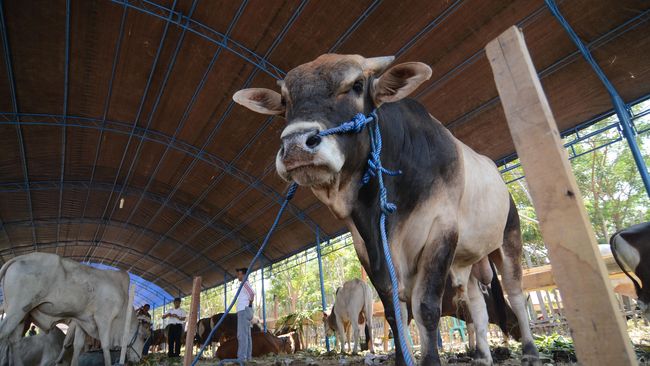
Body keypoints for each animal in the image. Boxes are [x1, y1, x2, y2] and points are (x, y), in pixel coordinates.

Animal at [233, 54, 536, 366]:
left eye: (357, 85)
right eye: (284, 100)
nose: (295, 145)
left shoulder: (441, 230)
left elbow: (426, 308)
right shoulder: (369, 248)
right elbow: (395, 311)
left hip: (509, 237)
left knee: (514, 292)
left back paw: (530, 351)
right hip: (469, 260)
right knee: (477, 307)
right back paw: (483, 357)